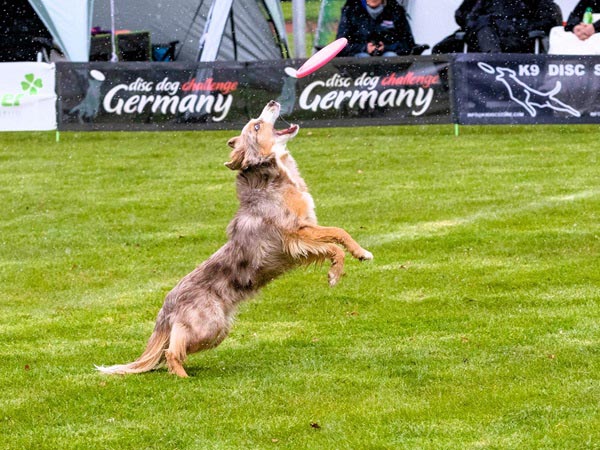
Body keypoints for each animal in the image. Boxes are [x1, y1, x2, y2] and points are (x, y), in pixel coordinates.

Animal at [96, 101, 372, 376]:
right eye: (256, 126)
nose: (272, 102)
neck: (272, 179)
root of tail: (168, 304)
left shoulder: (305, 233)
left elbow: (337, 235)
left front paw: (357, 254)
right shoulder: (295, 235)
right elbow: (336, 237)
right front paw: (338, 270)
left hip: (217, 331)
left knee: (171, 349)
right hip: (209, 326)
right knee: (171, 352)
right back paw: (183, 378)